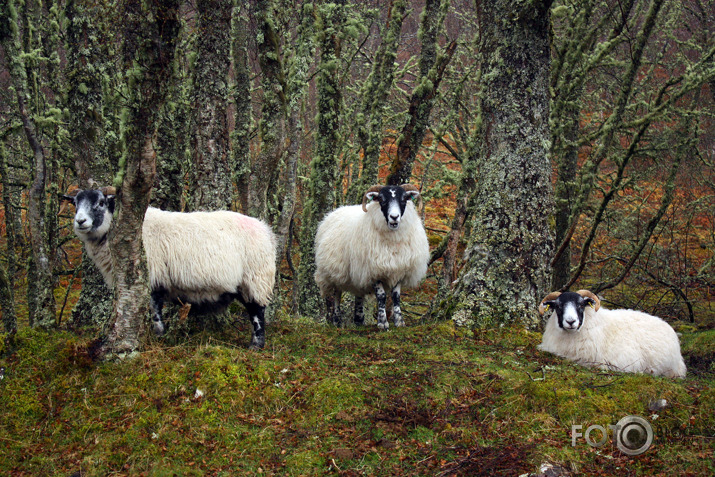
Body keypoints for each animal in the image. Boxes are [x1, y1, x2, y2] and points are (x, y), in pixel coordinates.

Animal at [64, 188, 276, 348]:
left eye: (100, 203)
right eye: (75, 203)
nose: (80, 221)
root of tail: (266, 231)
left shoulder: (153, 275)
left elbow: (154, 309)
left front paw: (159, 335)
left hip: (256, 277)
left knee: (257, 311)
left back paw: (256, 345)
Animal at [314, 184, 428, 330]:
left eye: (403, 199)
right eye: (382, 200)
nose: (394, 217)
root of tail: (333, 212)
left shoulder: (399, 269)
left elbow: (396, 297)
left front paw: (399, 322)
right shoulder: (373, 270)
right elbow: (382, 296)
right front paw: (383, 323)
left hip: (358, 273)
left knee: (358, 294)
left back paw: (359, 320)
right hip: (334, 271)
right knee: (337, 294)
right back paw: (337, 320)